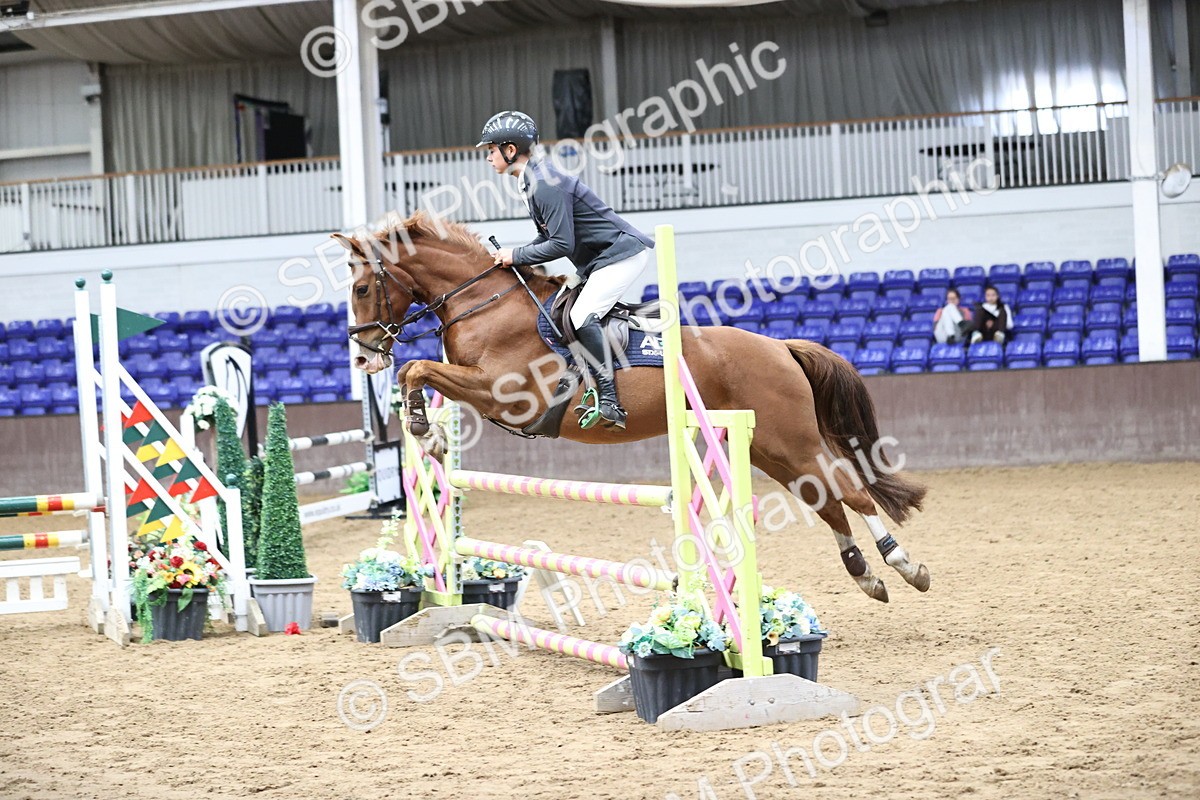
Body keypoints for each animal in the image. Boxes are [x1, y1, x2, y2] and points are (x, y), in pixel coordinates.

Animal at [336, 212, 930, 603]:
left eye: (362, 288)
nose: (364, 357)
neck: (485, 306)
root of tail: (779, 345)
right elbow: (416, 372)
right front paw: (429, 432)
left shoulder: (505, 393)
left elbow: (417, 369)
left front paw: (423, 428)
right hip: (767, 449)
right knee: (824, 497)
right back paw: (865, 574)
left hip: (791, 439)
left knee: (849, 489)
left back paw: (904, 564)